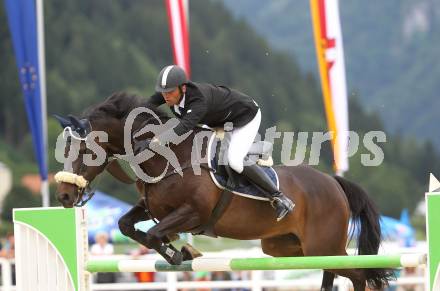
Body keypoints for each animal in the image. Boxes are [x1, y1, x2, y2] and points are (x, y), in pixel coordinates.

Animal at [55, 92, 392, 290]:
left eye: (84, 149)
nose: (64, 197)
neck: (165, 157)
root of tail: (333, 183)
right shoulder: (151, 207)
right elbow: (127, 225)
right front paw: (181, 250)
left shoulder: (193, 213)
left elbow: (153, 234)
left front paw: (179, 252)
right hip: (287, 248)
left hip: (323, 245)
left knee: (360, 275)